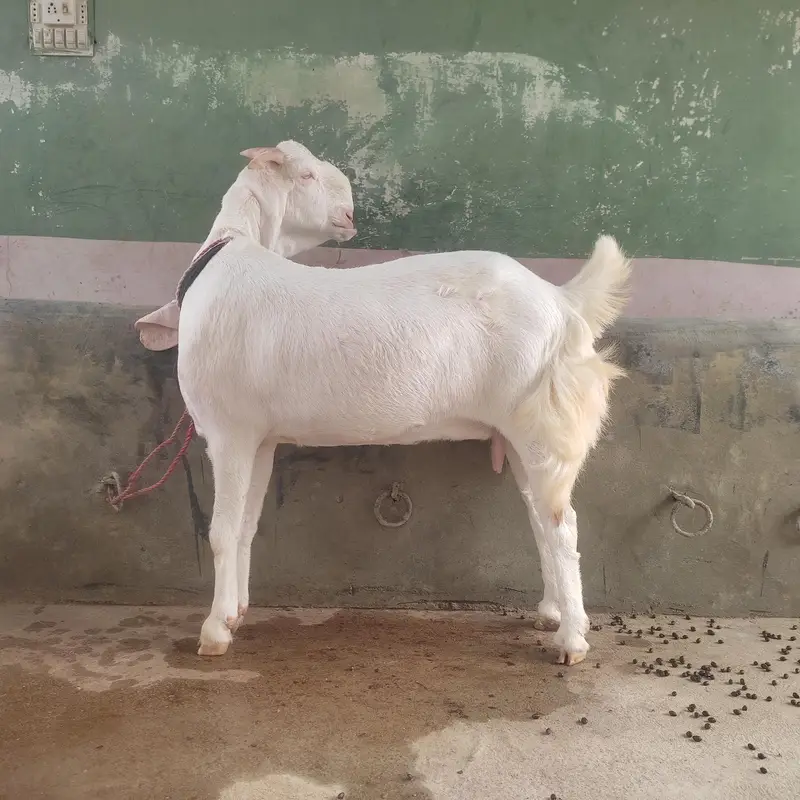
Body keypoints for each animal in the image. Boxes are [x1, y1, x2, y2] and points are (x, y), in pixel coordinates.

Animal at [140, 141, 631, 666]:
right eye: (307, 176)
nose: (350, 214)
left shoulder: (228, 431)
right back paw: (551, 613)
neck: (226, 253)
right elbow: (245, 527)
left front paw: (213, 632)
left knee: (562, 525)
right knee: (541, 516)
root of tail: (564, 302)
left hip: (542, 424)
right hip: (520, 429)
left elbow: (219, 531)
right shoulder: (260, 436)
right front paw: (236, 613)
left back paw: (572, 639)